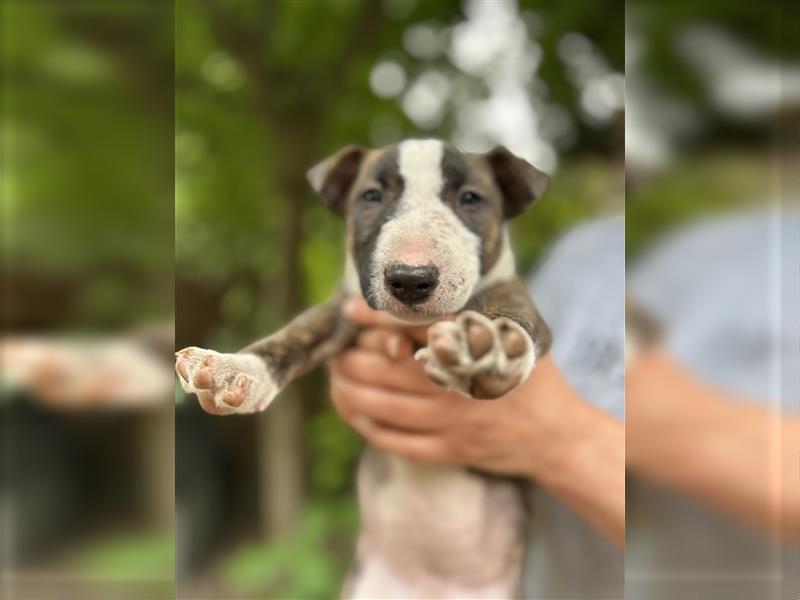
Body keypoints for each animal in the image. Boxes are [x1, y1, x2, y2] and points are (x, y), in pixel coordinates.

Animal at [175, 139, 552, 596]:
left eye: (470, 199)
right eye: (371, 196)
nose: (410, 279)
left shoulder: (516, 297)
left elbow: (512, 315)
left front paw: (488, 347)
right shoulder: (340, 312)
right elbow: (294, 335)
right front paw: (234, 370)